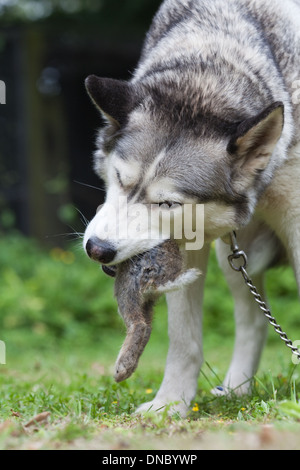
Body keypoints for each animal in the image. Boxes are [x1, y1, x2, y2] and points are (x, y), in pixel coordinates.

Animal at [84, 0, 300, 418]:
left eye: (167, 203)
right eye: (119, 177)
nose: (97, 248)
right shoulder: (185, 246)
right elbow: (184, 341)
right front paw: (171, 405)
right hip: (232, 259)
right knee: (254, 321)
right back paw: (237, 389)